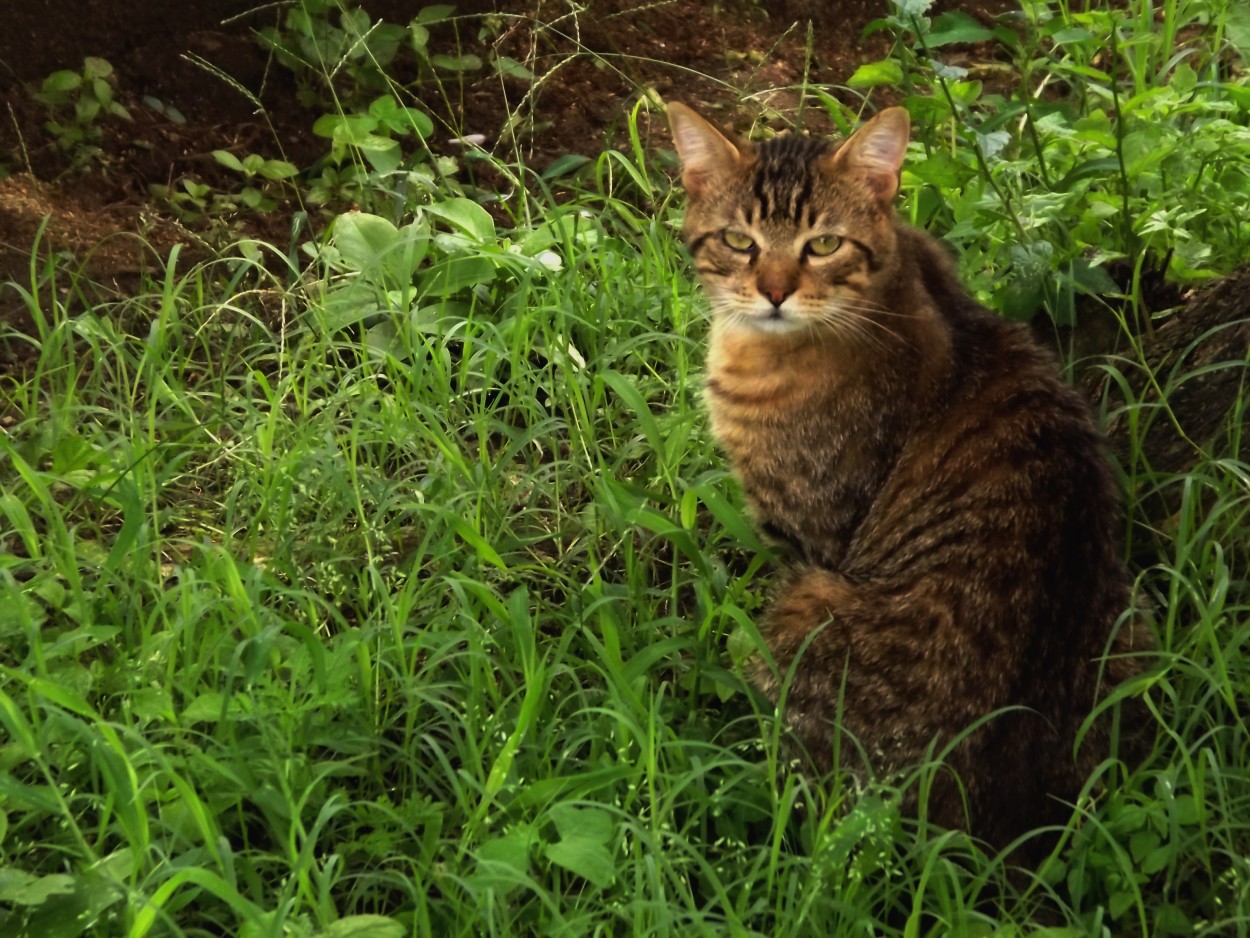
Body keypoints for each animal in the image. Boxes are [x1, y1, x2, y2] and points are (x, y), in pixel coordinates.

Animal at [670, 104, 1145, 860]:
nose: (774, 292)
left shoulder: (811, 536)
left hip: (805, 609)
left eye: (824, 244)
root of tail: (989, 844)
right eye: (740, 241)